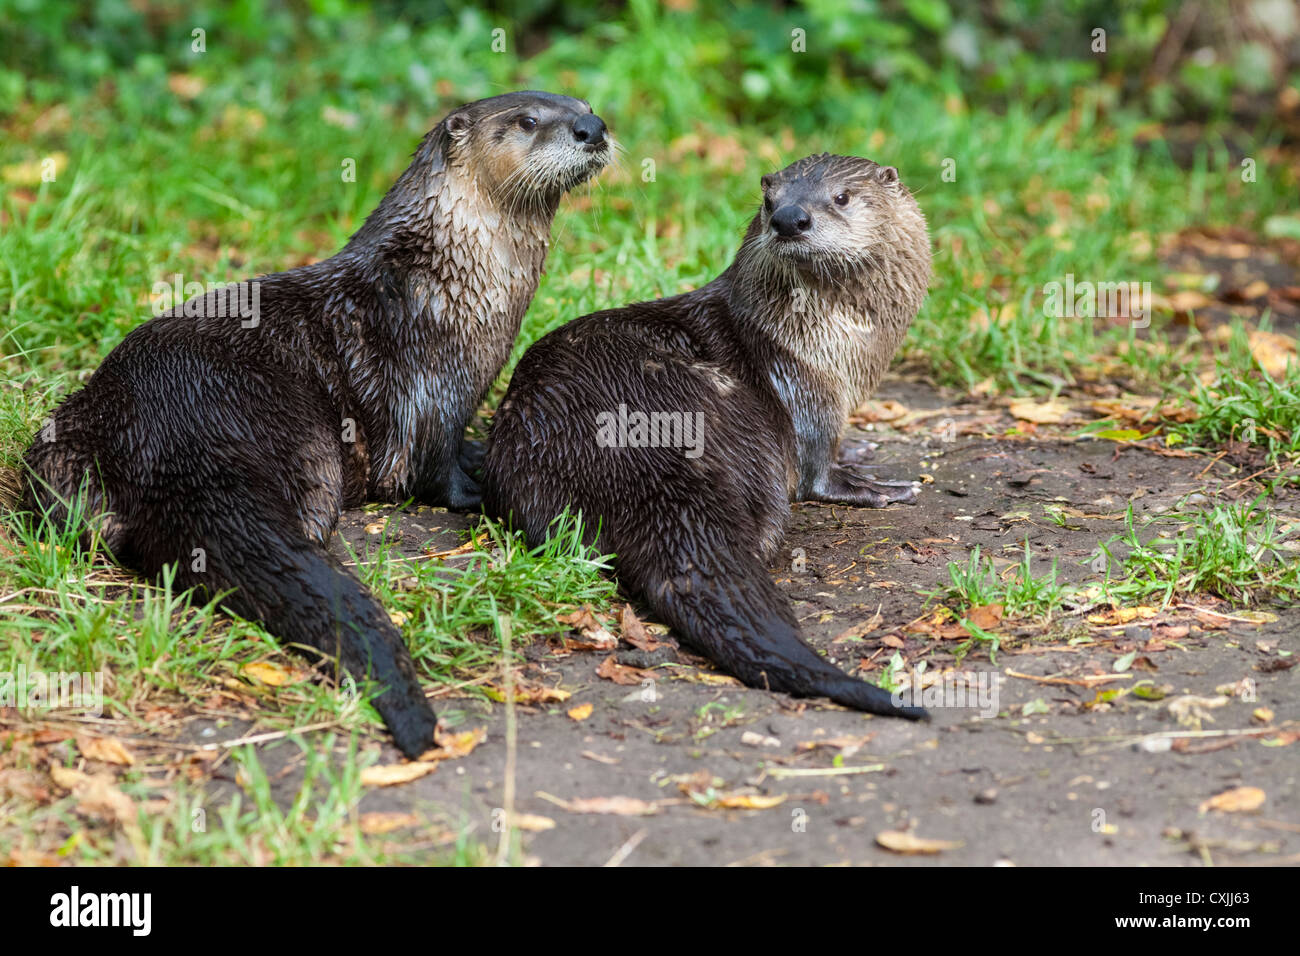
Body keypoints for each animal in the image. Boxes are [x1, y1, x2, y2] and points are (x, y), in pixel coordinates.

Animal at [21, 91, 611, 757]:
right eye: (530, 121)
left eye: (583, 105)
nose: (592, 128)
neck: (451, 278)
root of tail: (171, 425)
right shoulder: (435, 380)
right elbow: (434, 465)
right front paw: (481, 485)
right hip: (304, 441)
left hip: (60, 446)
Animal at [483, 153, 930, 718]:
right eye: (769, 199)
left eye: (842, 197)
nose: (788, 218)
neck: (836, 345)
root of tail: (636, 454)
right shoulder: (806, 388)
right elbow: (816, 471)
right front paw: (871, 484)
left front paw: (860, 446)